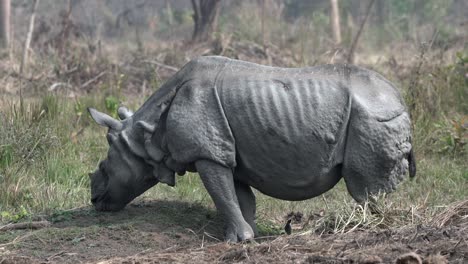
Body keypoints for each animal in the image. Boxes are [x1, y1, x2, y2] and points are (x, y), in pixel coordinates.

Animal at [88, 55, 416, 241]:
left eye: (103, 168)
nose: (94, 200)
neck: (146, 134)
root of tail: (400, 99)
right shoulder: (225, 151)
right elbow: (239, 197)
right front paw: (248, 236)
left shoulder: (207, 153)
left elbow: (222, 196)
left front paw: (236, 241)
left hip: (372, 117)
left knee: (363, 185)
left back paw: (368, 226)